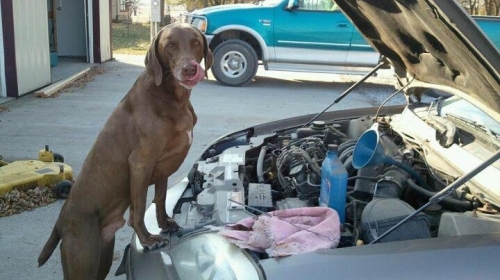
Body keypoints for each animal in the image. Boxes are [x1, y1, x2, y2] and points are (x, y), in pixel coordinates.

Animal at [37, 23, 213, 278]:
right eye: (170, 45)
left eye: (196, 42)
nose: (190, 69)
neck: (172, 97)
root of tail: (60, 222)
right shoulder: (140, 163)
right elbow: (138, 209)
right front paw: (148, 239)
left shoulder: (162, 167)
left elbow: (160, 198)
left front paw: (165, 224)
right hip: (83, 257)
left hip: (102, 256)